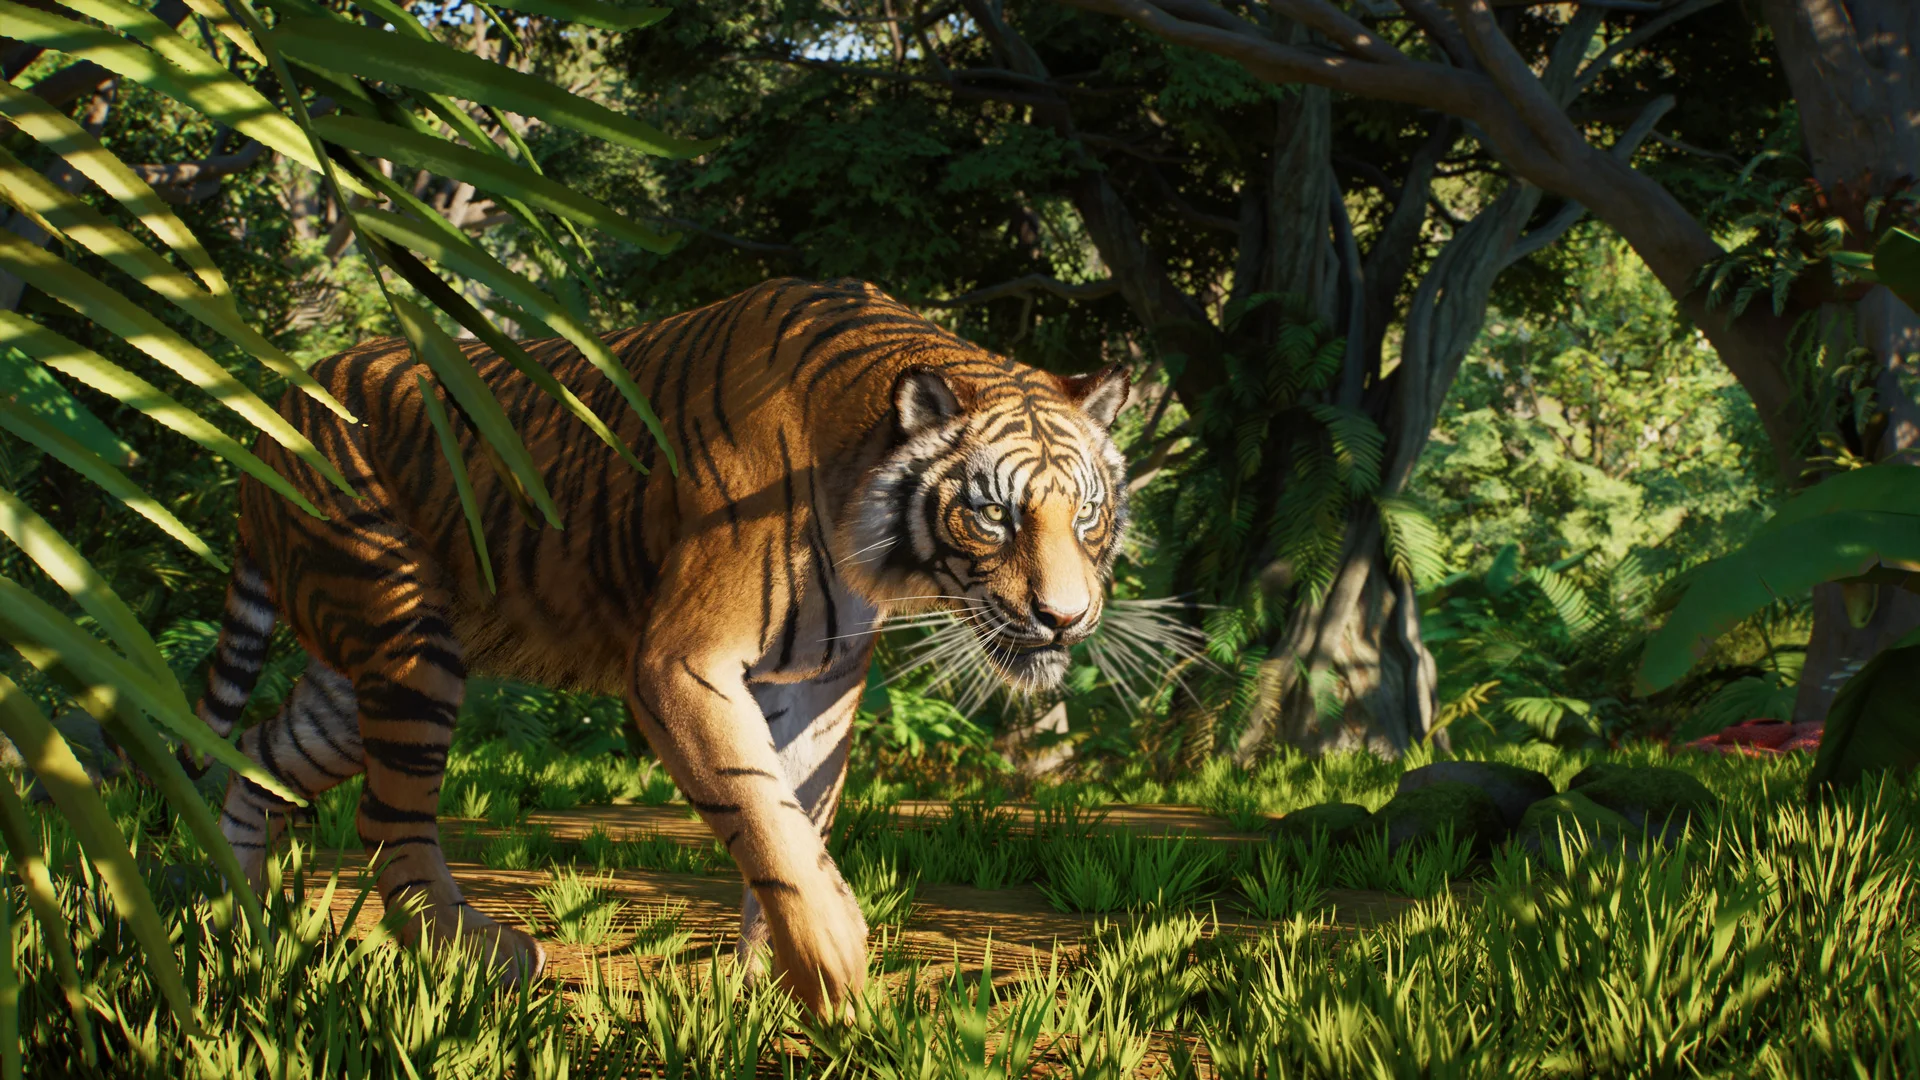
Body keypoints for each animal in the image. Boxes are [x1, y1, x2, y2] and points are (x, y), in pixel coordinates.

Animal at [194, 277, 1130, 1017]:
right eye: (994, 514)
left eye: (1086, 512)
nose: (1064, 618)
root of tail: (273, 411)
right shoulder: (681, 662)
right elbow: (762, 814)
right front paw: (833, 962)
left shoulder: (819, 680)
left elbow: (799, 814)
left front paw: (765, 984)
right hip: (408, 638)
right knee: (387, 820)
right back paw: (491, 957)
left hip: (358, 673)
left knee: (257, 758)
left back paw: (235, 929)